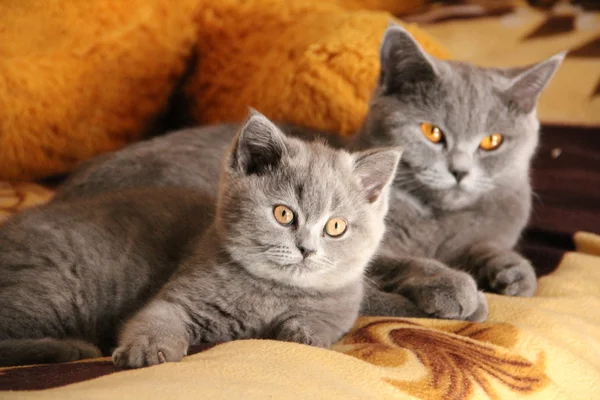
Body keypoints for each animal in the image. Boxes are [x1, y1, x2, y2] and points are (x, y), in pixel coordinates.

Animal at [0, 111, 406, 368]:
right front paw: (146, 349)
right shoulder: (177, 297)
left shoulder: (341, 307)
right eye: (283, 214)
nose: (306, 249)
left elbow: (322, 323)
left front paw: (303, 331)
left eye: (335, 226)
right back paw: (69, 347)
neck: (272, 292)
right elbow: (155, 319)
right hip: (56, 287)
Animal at [56, 23, 568, 322]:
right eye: (432, 132)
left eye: (492, 142)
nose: (459, 171)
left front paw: (513, 273)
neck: (441, 219)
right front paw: (456, 285)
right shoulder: (367, 247)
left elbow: (488, 246)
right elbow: (396, 262)